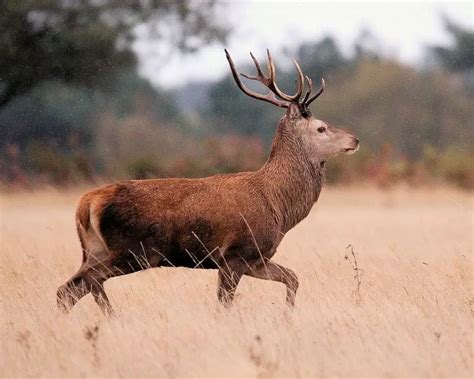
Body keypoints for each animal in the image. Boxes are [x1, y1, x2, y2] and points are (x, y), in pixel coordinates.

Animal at [56, 50, 360, 318]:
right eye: (321, 128)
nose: (355, 139)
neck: (278, 206)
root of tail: (86, 204)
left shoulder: (256, 258)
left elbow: (293, 278)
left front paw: (288, 315)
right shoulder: (235, 254)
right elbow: (224, 304)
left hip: (95, 250)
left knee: (70, 289)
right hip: (132, 250)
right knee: (84, 284)